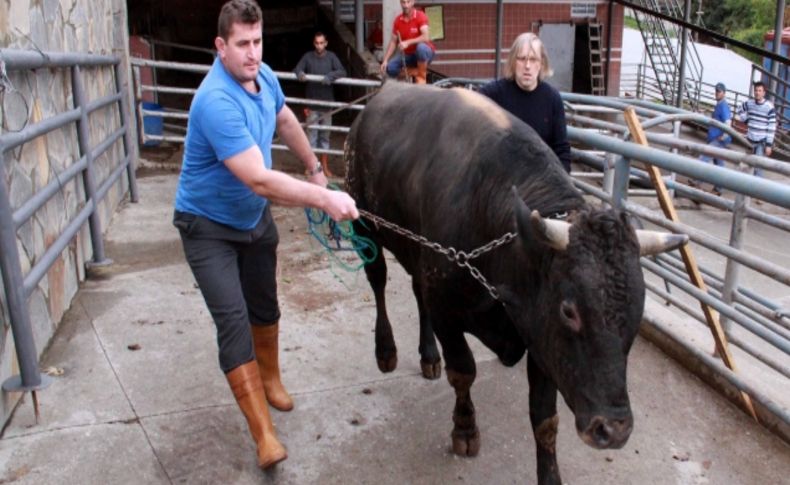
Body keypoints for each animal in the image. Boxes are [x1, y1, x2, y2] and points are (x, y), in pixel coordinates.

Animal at [346, 81, 688, 482]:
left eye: (638, 309)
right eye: (569, 310)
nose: (613, 429)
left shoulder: (540, 335)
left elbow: (544, 418)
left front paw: (551, 476)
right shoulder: (449, 312)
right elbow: (463, 372)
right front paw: (465, 430)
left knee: (417, 292)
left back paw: (428, 356)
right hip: (363, 226)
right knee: (379, 281)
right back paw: (386, 351)